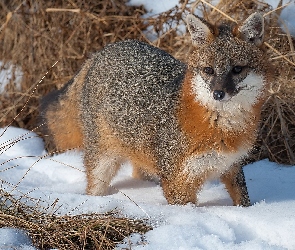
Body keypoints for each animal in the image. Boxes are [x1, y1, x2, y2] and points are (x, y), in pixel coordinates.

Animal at [40, 12, 274, 206]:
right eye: (209, 70)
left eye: (237, 69)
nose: (218, 94)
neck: (223, 128)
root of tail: (101, 52)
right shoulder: (178, 182)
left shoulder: (232, 167)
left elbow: (243, 201)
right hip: (103, 163)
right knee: (93, 187)